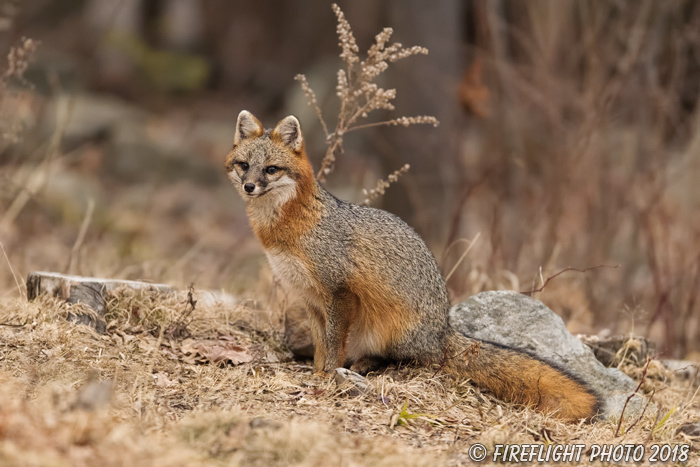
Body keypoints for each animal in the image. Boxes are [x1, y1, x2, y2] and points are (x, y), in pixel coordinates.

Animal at [227, 111, 600, 422]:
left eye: (271, 169)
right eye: (244, 165)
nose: (249, 186)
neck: (286, 230)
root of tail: (443, 329)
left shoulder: (339, 294)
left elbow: (333, 345)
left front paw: (327, 377)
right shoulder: (310, 299)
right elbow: (321, 345)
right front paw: (318, 373)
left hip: (388, 331)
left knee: (403, 359)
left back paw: (365, 365)